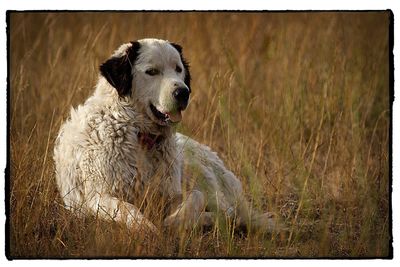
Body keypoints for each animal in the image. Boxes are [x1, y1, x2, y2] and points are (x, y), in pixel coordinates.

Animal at [54, 38, 278, 237]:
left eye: (178, 69)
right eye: (152, 72)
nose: (183, 92)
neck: (140, 135)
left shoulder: (172, 192)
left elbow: (194, 197)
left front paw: (175, 221)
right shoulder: (97, 197)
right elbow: (125, 208)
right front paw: (145, 227)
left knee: (230, 211)